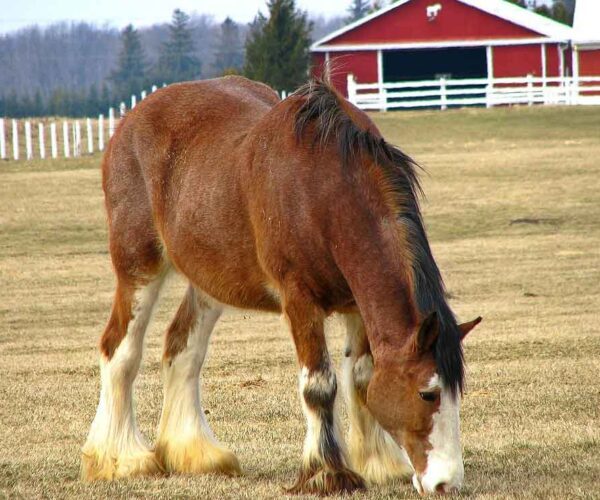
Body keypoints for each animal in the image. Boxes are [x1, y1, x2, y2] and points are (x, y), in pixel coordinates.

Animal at [81, 76, 482, 494]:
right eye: (428, 393)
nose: (447, 482)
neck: (323, 193)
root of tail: (130, 121)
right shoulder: (299, 301)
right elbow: (319, 385)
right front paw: (327, 473)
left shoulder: (357, 304)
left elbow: (360, 378)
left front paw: (378, 465)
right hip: (138, 267)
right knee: (120, 350)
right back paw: (121, 459)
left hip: (209, 280)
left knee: (182, 349)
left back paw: (196, 452)